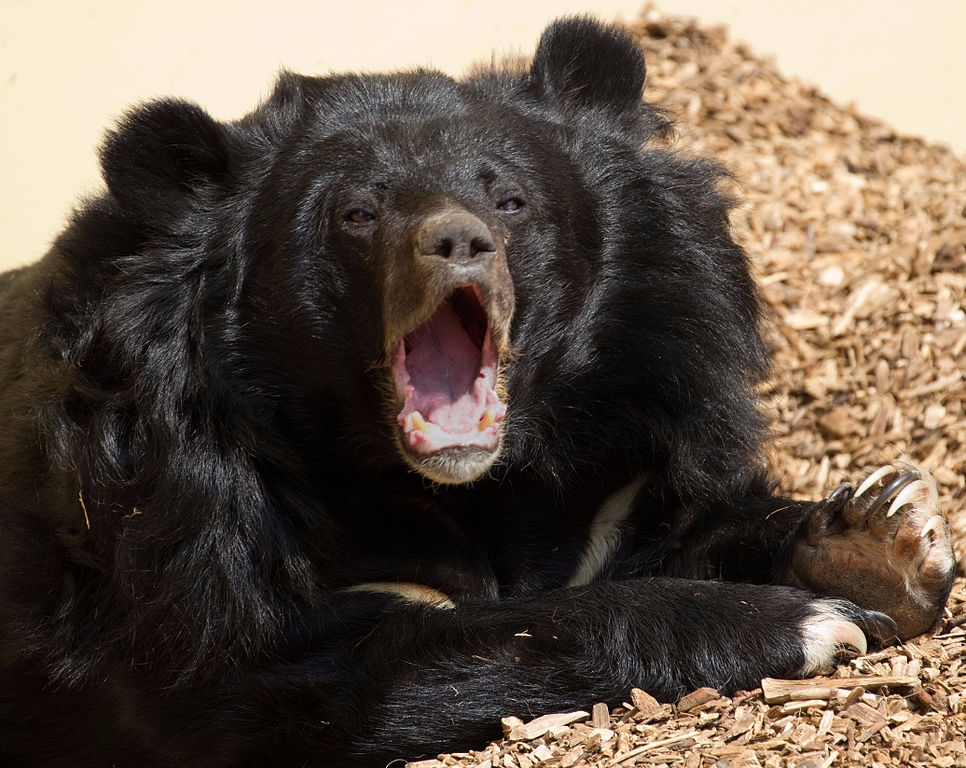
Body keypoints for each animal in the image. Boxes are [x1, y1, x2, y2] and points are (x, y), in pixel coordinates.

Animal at [0, 16, 956, 768]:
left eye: (510, 200)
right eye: (357, 214)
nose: (457, 241)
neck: (478, 485)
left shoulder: (632, 438)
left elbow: (685, 527)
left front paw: (882, 536)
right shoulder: (180, 536)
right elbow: (395, 660)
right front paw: (802, 621)